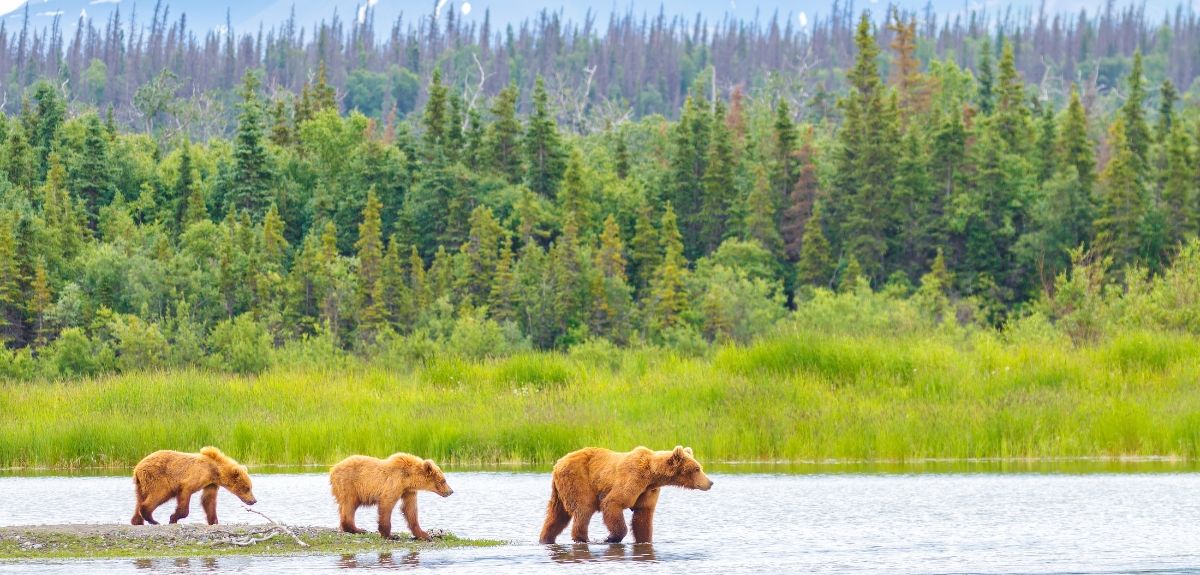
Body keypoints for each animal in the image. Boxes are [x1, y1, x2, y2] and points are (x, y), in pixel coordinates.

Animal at [542, 448, 710, 547]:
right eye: (697, 468)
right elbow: (612, 503)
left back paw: (546, 538)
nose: (710, 482)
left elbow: (642, 517)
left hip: (560, 490)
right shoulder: (632, 478)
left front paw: (644, 539)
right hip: (578, 480)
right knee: (583, 508)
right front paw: (611, 538)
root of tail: (557, 463)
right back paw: (582, 538)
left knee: (556, 515)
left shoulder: (647, 491)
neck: (652, 475)